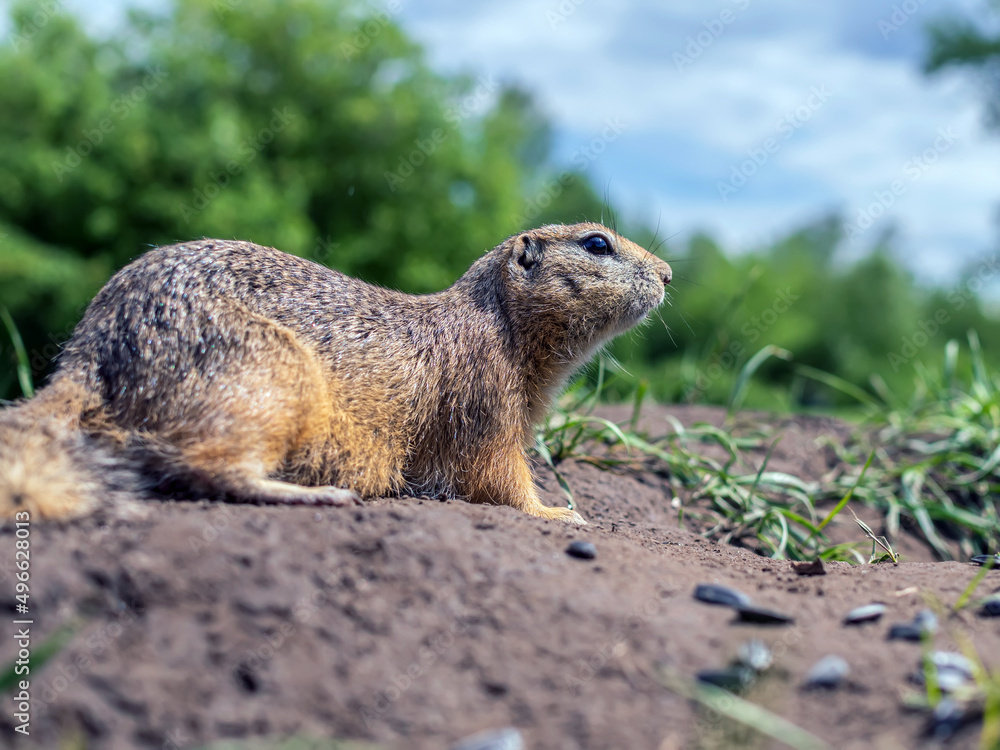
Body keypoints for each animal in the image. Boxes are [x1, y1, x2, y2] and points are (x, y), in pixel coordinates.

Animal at [0, 226, 676, 524]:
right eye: (597, 243)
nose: (670, 273)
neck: (500, 322)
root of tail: (93, 351)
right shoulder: (488, 396)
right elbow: (498, 474)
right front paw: (561, 512)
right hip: (270, 377)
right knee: (199, 465)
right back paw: (314, 492)